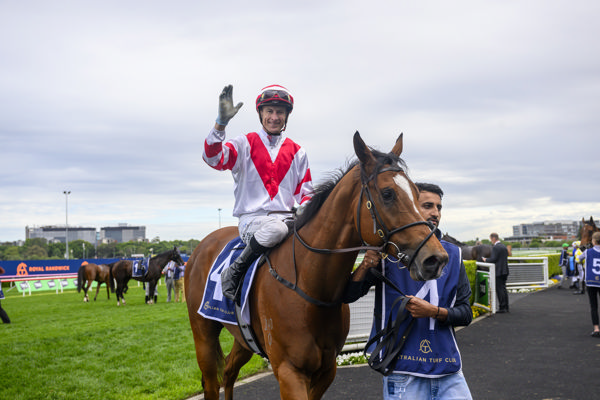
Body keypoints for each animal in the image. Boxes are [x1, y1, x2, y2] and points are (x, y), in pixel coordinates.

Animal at [185, 133, 448, 398]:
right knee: (211, 382)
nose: (436, 258)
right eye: (387, 194)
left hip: (243, 337)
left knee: (229, 371)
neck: (311, 288)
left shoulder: (327, 369)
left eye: (417, 194)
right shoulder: (289, 371)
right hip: (203, 333)